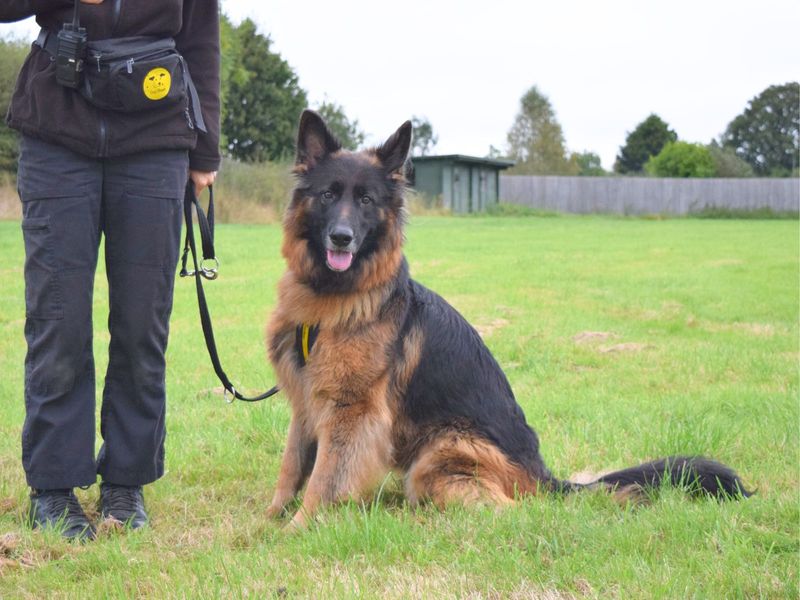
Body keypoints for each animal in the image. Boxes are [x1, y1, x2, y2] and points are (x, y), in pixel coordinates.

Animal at [264, 110, 752, 528]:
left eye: (366, 200)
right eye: (329, 194)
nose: (341, 238)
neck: (331, 300)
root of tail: (543, 476)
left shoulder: (352, 412)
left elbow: (325, 478)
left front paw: (299, 527)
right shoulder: (306, 402)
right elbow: (292, 465)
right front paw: (267, 520)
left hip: (438, 453)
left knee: (505, 510)